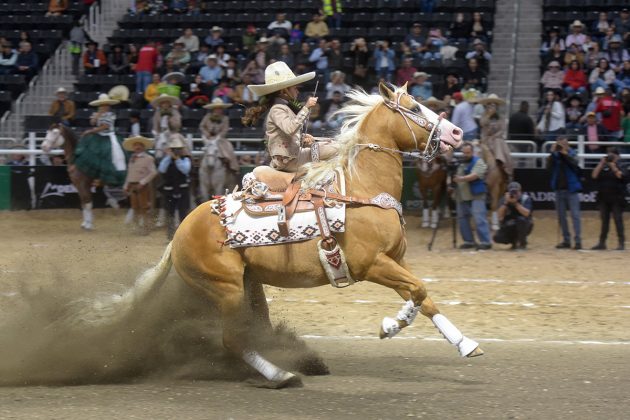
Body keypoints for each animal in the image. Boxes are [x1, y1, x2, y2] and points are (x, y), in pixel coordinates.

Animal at [74, 83, 482, 388]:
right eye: (414, 107)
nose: (457, 132)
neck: (362, 188)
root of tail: (178, 235)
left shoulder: (395, 260)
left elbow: (422, 297)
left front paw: (458, 342)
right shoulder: (372, 264)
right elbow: (419, 292)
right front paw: (397, 328)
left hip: (248, 284)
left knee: (253, 331)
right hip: (226, 289)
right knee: (233, 338)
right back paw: (281, 374)